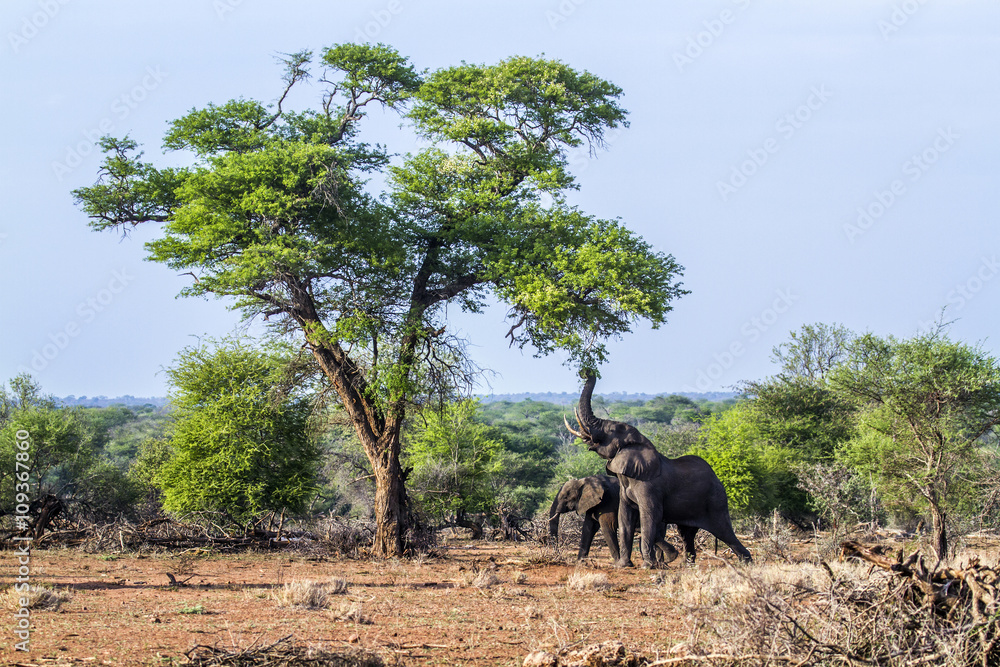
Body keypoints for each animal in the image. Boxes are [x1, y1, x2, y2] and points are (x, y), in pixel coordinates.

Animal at [548, 475, 679, 563]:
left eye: (566, 497)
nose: (557, 553)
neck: (584, 481)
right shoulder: (594, 503)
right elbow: (588, 528)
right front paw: (580, 562)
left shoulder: (608, 502)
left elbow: (607, 527)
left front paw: (617, 562)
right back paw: (665, 561)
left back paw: (664, 561)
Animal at [565, 371, 752, 568]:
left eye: (610, 430)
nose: (586, 372)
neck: (641, 443)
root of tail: (718, 480)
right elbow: (625, 518)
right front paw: (624, 565)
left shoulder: (649, 487)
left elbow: (650, 517)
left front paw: (648, 565)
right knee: (687, 534)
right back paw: (688, 566)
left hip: (715, 502)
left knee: (724, 531)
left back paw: (747, 563)